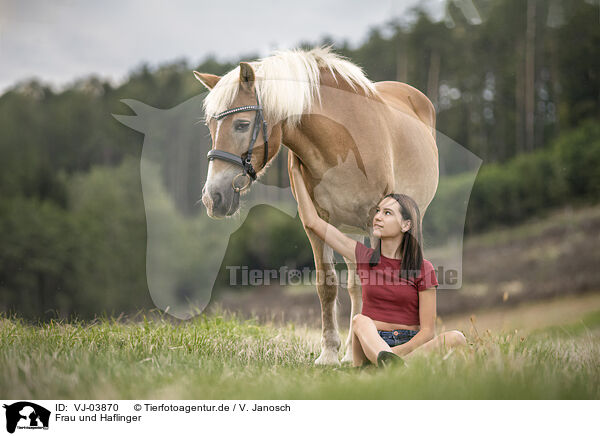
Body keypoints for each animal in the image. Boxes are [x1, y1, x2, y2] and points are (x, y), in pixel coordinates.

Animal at [195, 46, 438, 366]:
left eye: (242, 124)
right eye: (211, 126)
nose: (213, 197)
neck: (341, 140)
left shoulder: (375, 221)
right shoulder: (317, 224)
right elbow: (328, 284)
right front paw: (329, 353)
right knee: (354, 285)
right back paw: (349, 351)